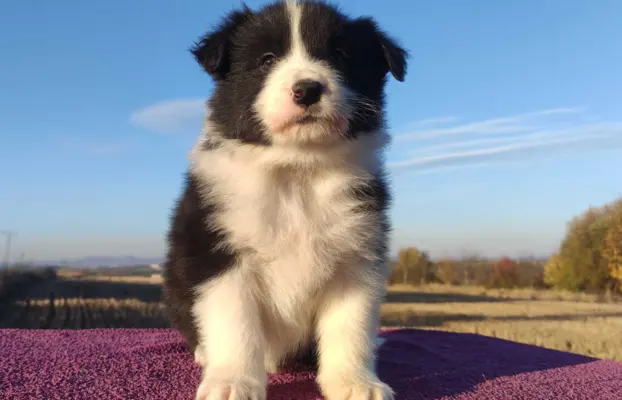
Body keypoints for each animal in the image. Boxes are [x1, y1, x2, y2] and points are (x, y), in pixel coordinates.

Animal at [162, 1, 410, 398]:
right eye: (266, 60)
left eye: (339, 56)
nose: (307, 89)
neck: (296, 172)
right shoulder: (218, 253)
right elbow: (235, 322)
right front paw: (232, 381)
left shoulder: (355, 256)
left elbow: (350, 326)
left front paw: (354, 382)